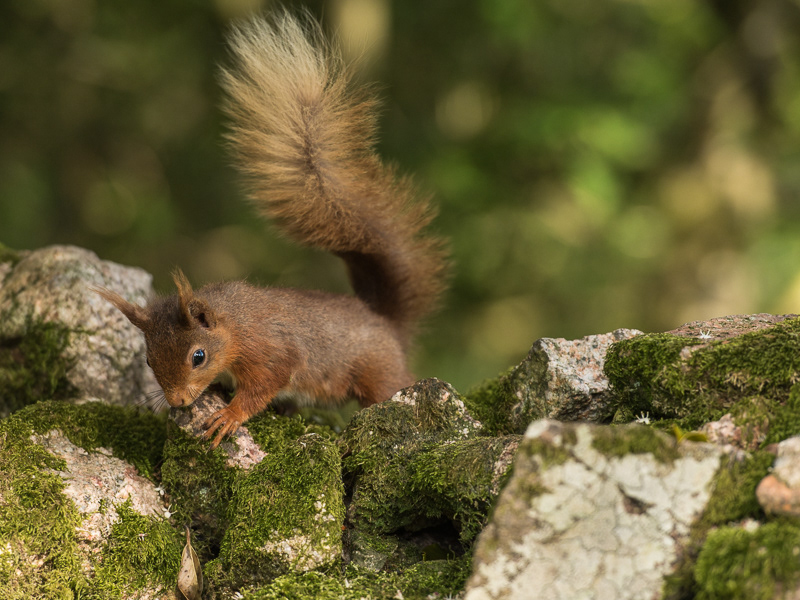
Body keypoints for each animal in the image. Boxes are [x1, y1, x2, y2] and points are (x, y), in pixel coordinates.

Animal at [95, 11, 448, 448]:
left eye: (198, 356)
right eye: (147, 358)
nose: (177, 401)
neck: (235, 324)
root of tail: (384, 322)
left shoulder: (272, 352)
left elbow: (266, 384)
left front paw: (229, 415)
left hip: (377, 374)